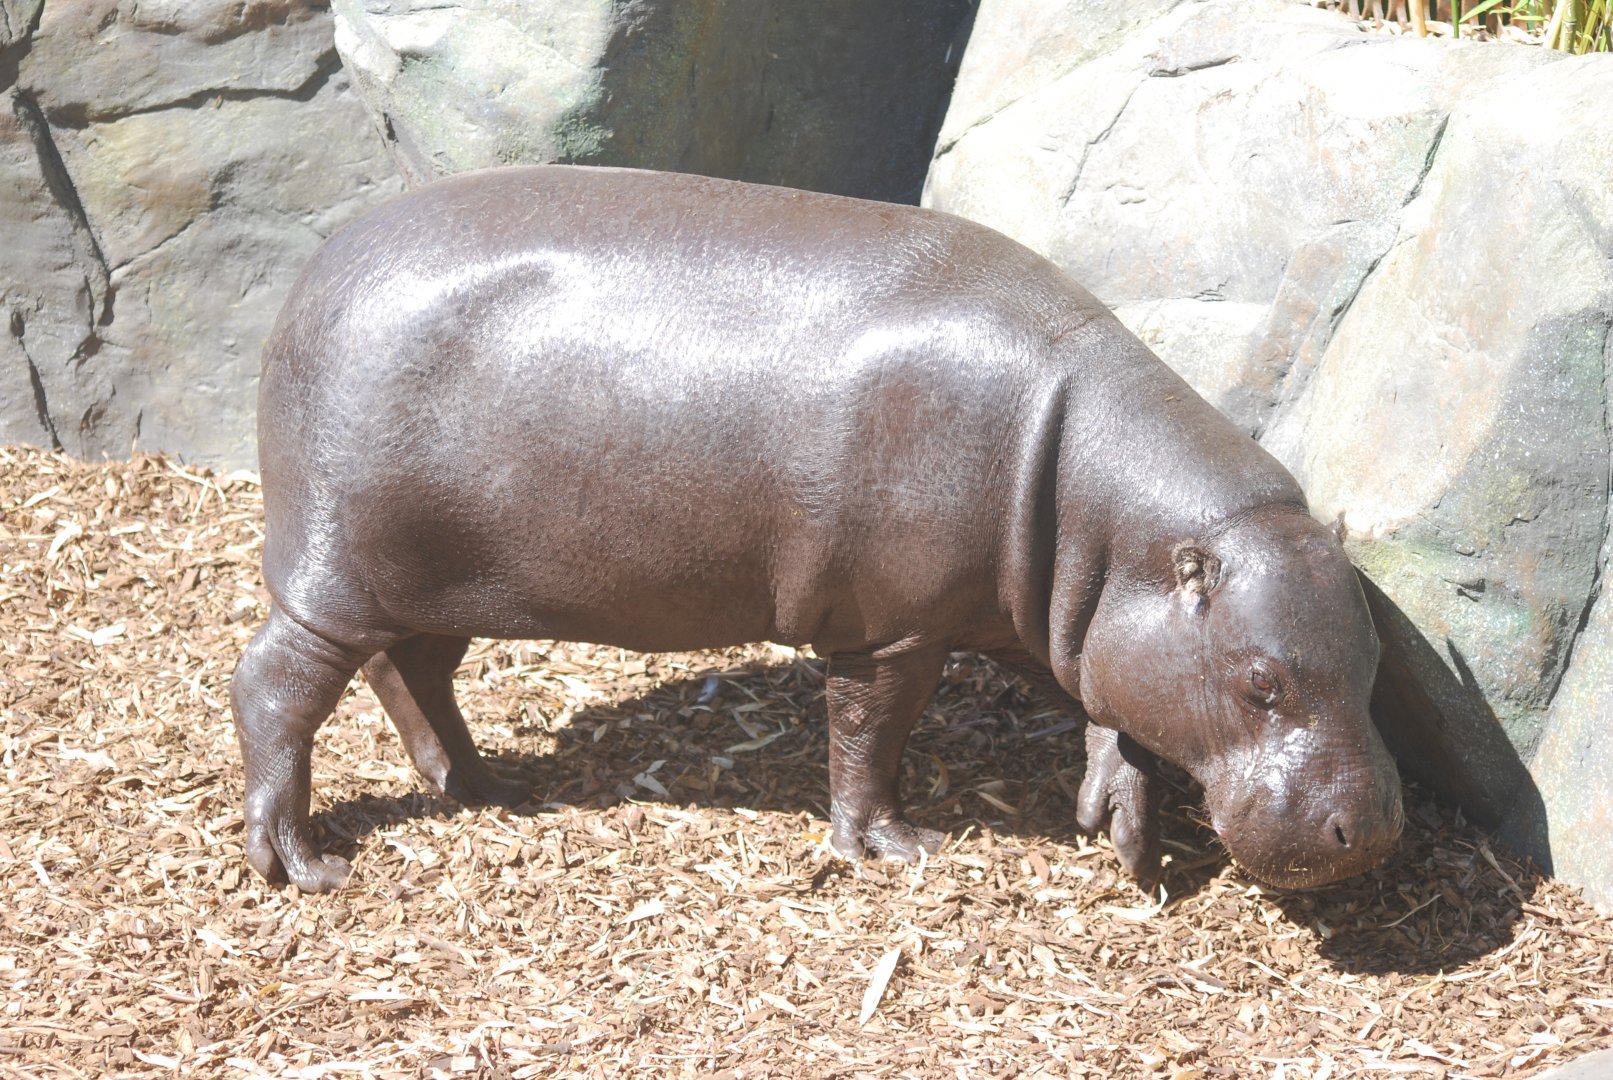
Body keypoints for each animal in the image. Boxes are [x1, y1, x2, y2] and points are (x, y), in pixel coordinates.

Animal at [231, 164, 1403, 894]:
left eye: (1372, 658)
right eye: (1262, 683)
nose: (1378, 829)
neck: (1108, 514)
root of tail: (308, 278)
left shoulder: (1052, 613)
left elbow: (1104, 694)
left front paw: (1120, 825)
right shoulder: (891, 627)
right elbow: (868, 736)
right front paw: (895, 846)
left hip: (431, 577)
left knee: (412, 672)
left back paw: (490, 791)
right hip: (335, 572)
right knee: (277, 685)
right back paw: (301, 863)